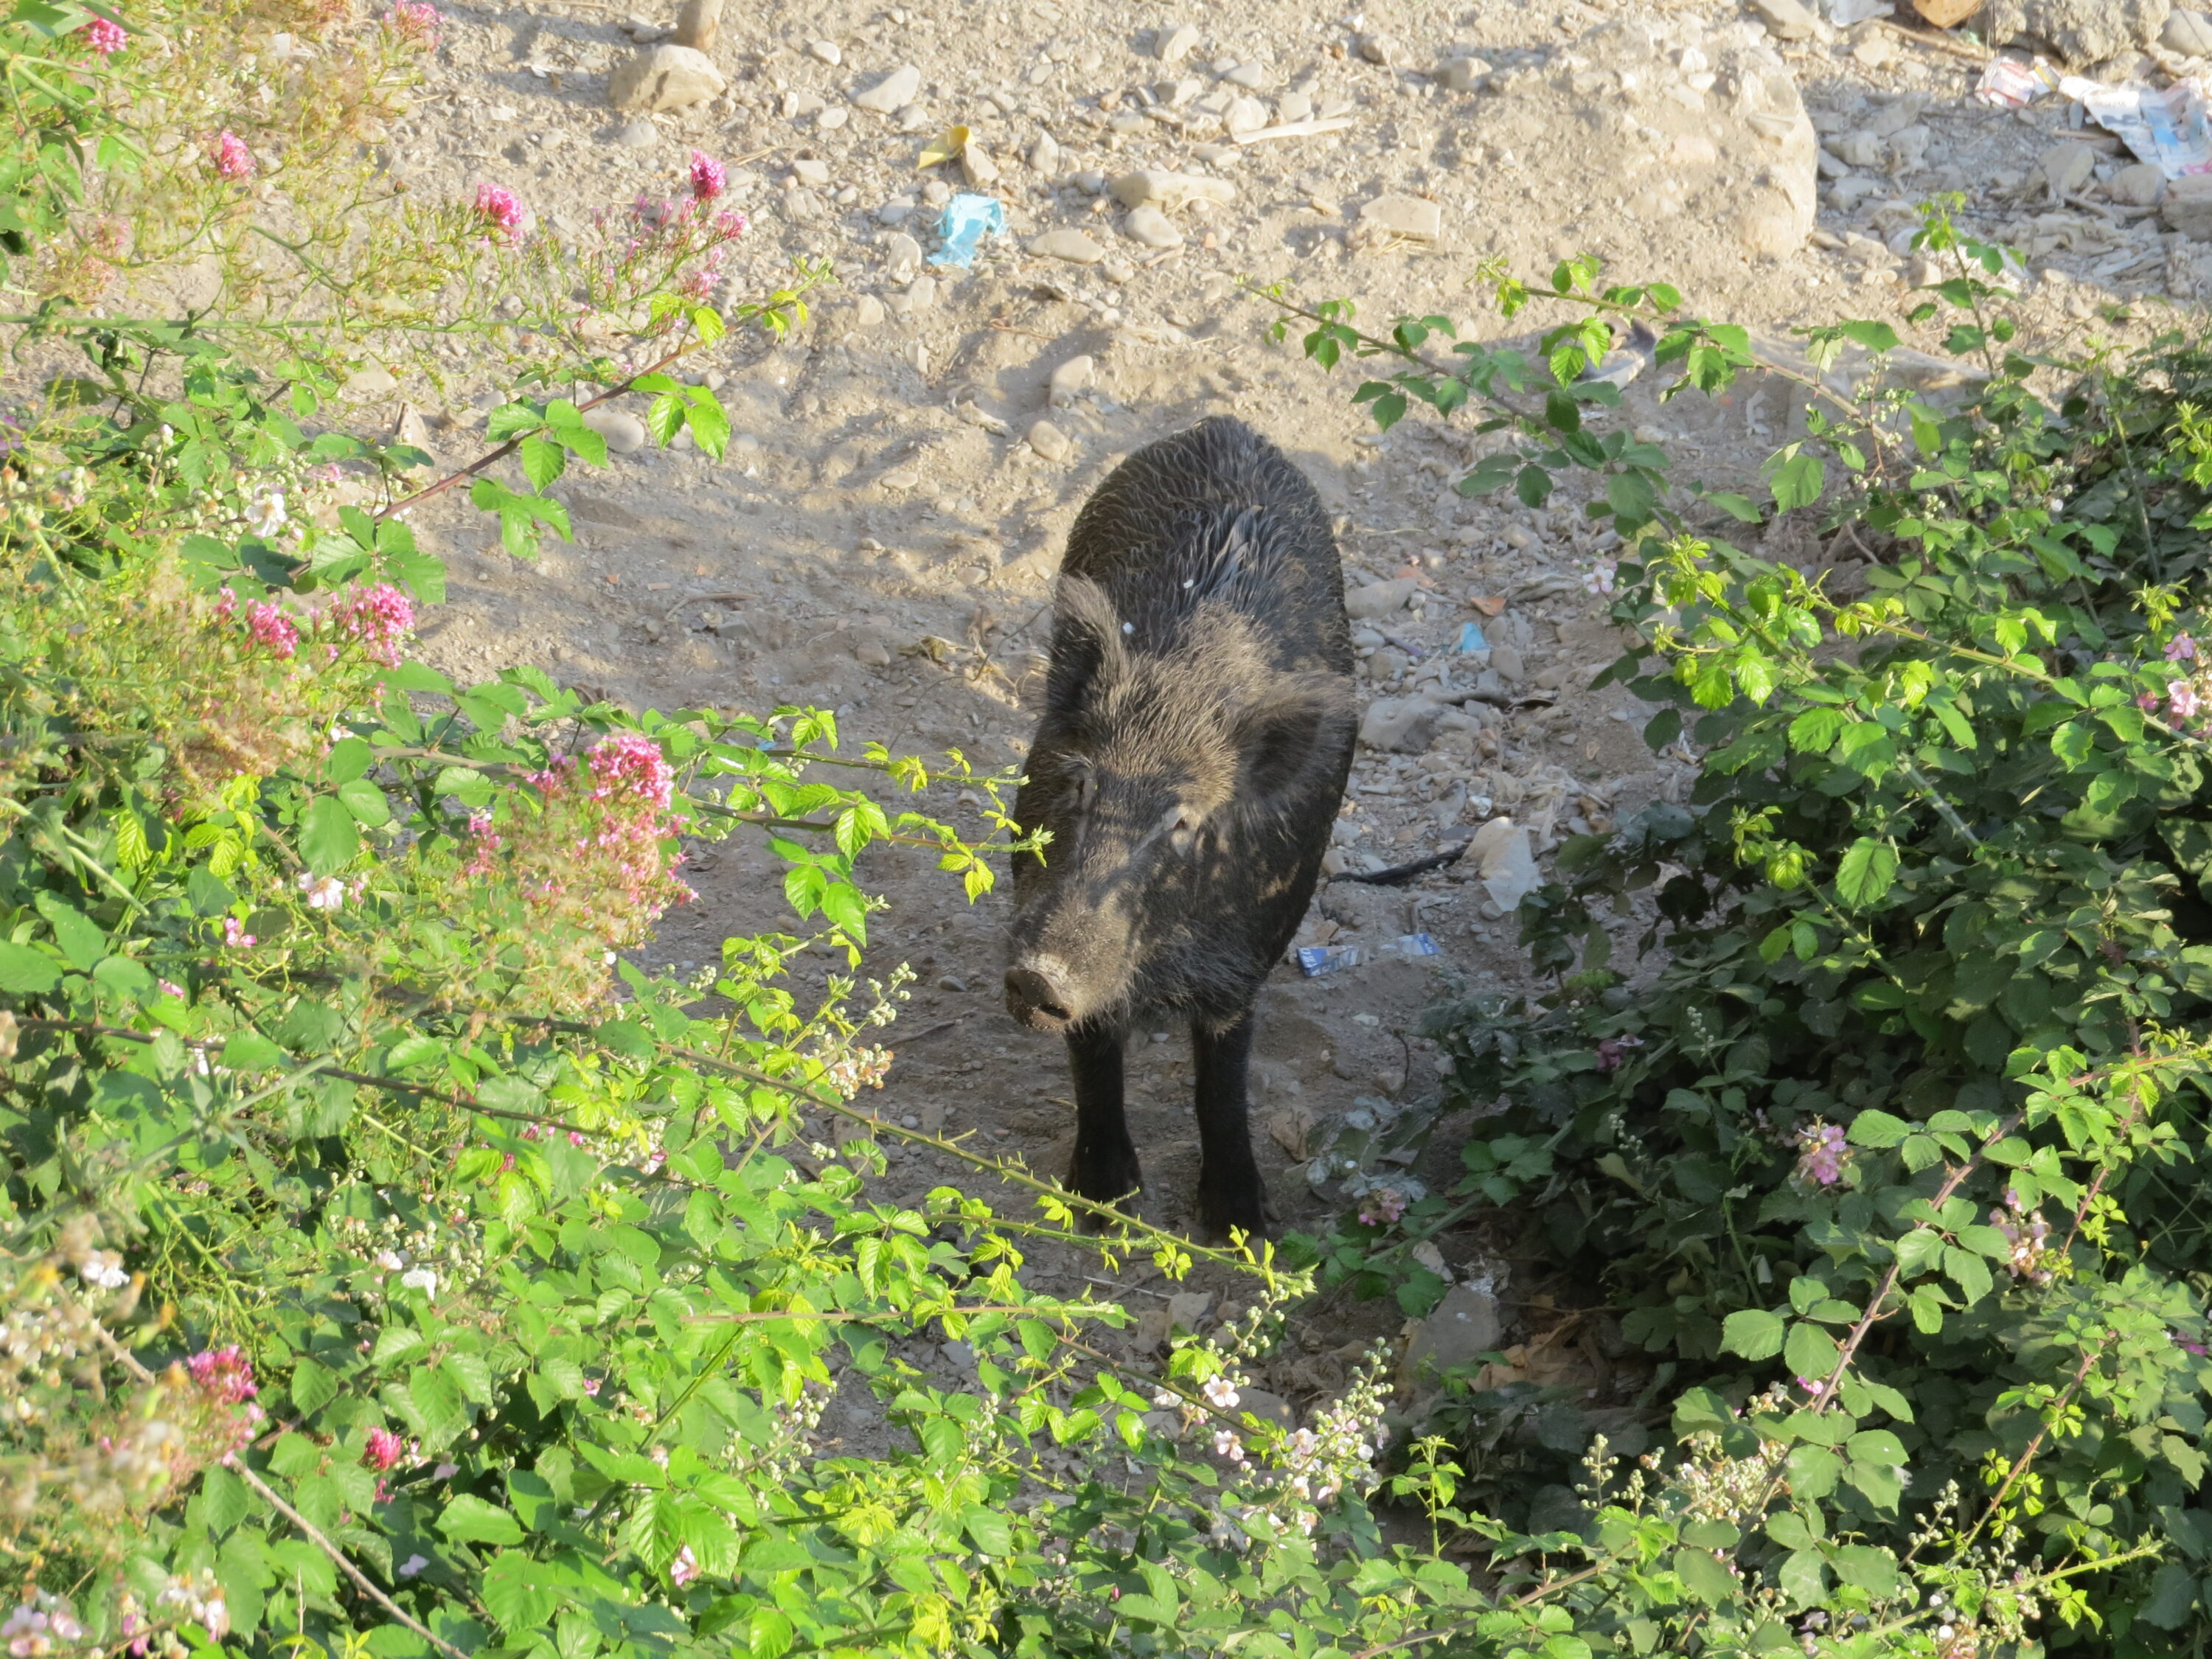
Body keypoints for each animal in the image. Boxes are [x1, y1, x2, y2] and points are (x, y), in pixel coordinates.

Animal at [1003, 416, 1355, 1240]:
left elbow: (1222, 1085)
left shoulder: (1244, 958)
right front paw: (1101, 1204)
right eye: (1078, 782)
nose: (1038, 973)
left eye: (1186, 822)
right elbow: (1094, 1055)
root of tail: (1226, 424)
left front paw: (1241, 1226)